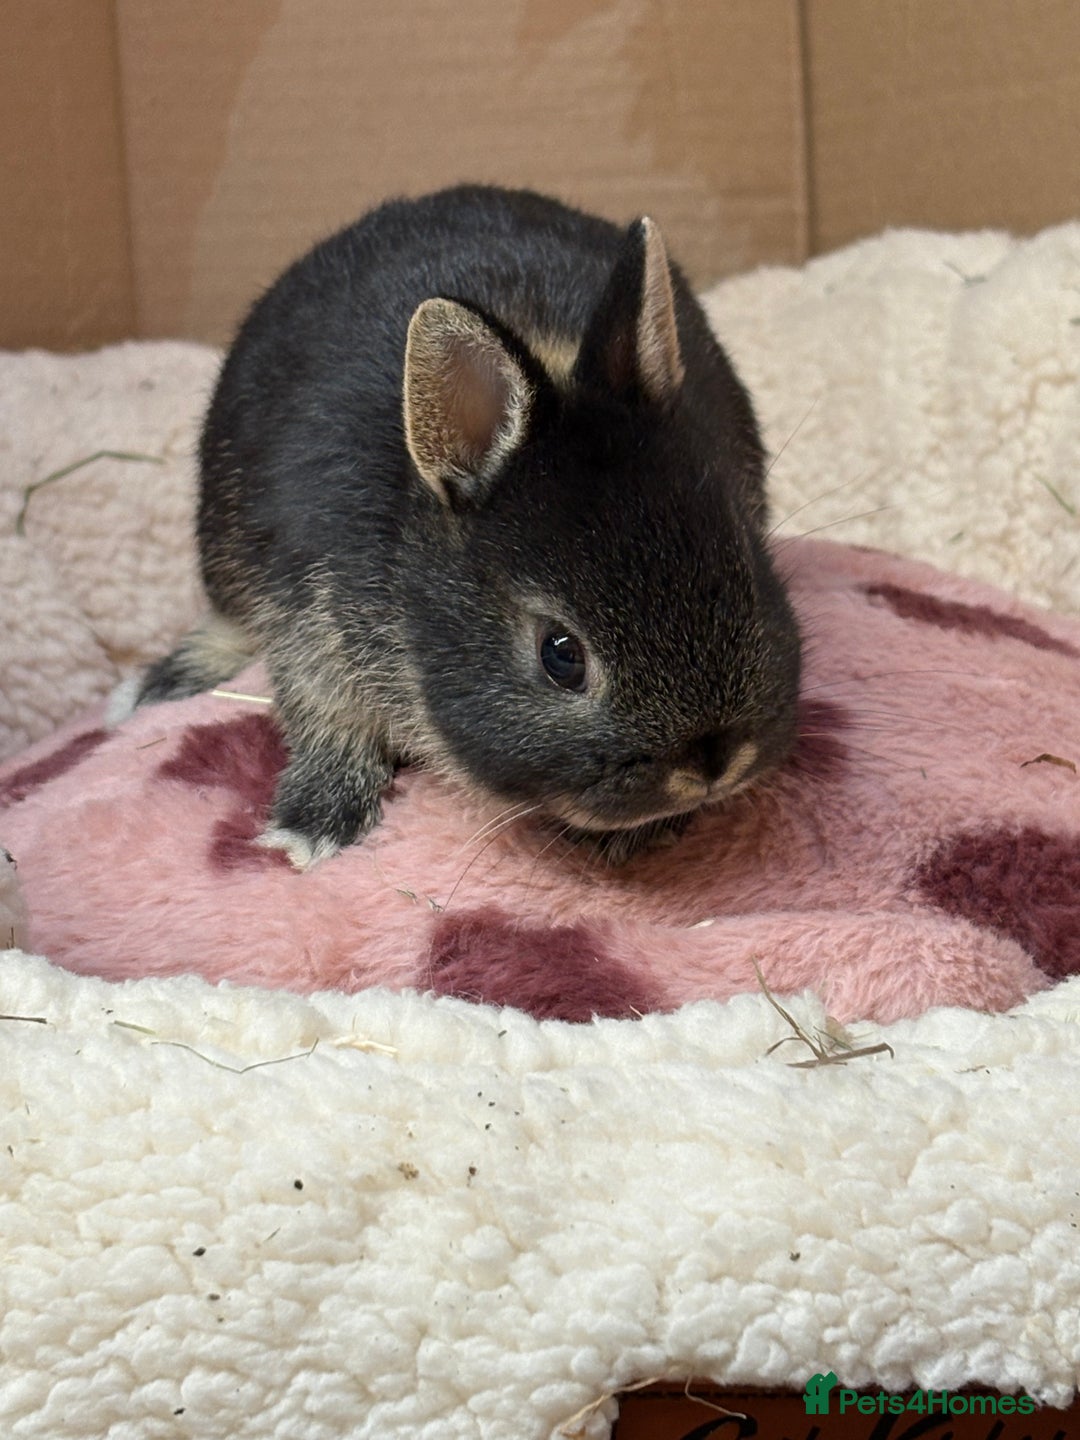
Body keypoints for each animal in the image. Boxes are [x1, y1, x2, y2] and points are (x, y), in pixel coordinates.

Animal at [135, 184, 802, 867]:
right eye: (561, 655)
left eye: (747, 572)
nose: (713, 763)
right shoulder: (312, 613)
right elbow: (324, 711)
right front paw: (311, 828)